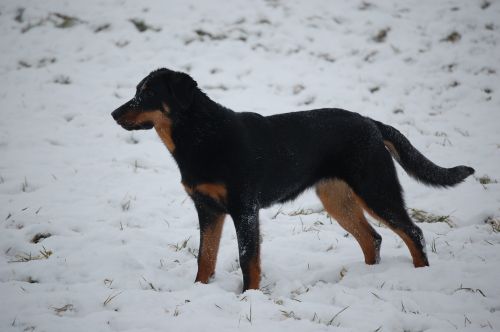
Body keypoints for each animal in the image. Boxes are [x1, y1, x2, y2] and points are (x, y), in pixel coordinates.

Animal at [111, 68, 474, 292]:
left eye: (148, 93)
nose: (114, 114)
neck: (200, 136)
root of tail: (372, 123)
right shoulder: (208, 209)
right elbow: (205, 257)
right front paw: (199, 292)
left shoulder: (244, 208)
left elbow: (248, 259)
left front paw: (249, 297)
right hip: (337, 198)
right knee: (372, 238)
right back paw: (369, 275)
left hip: (376, 189)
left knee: (413, 232)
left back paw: (422, 274)